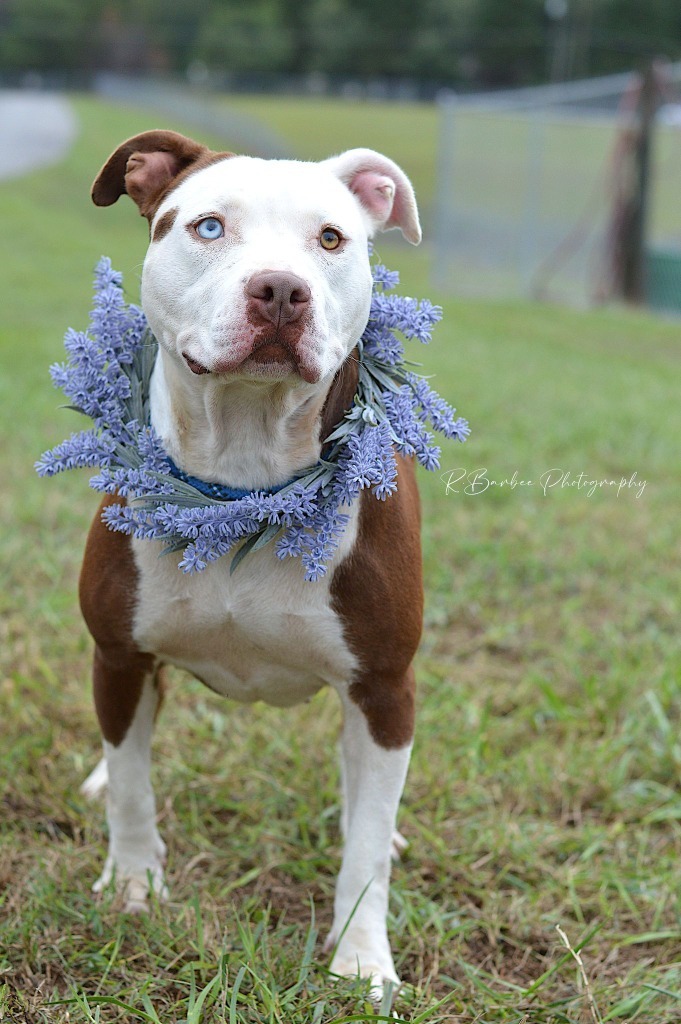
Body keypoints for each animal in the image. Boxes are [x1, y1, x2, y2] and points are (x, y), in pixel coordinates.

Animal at [76, 130, 421, 999]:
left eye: (330, 239)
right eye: (207, 226)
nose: (280, 291)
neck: (244, 475)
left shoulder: (383, 684)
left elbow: (365, 848)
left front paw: (360, 958)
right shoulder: (119, 652)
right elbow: (133, 786)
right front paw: (134, 886)